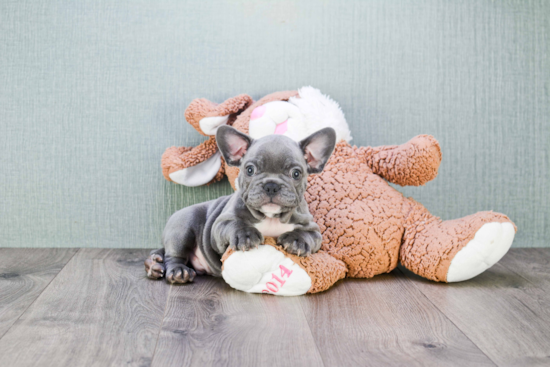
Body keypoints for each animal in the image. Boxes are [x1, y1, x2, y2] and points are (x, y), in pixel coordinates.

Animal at [146, 126, 336, 284]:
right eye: (250, 170)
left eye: (296, 173)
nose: (271, 185)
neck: (270, 217)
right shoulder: (220, 224)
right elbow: (235, 224)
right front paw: (246, 235)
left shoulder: (313, 229)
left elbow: (307, 235)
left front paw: (297, 241)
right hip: (183, 226)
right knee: (174, 255)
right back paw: (176, 271)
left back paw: (154, 264)